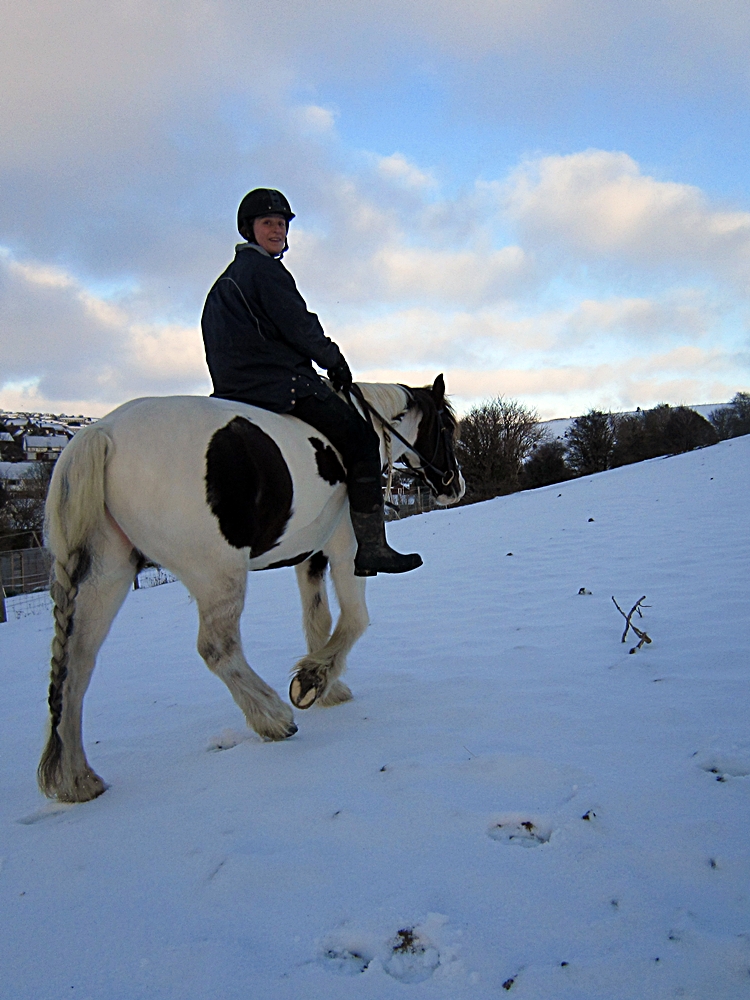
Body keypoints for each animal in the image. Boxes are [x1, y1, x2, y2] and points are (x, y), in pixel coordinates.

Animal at [38, 376, 464, 803]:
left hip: (106, 574)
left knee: (76, 663)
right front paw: (313, 679)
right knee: (216, 648)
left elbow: (317, 618)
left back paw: (78, 779)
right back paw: (272, 717)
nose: (455, 486)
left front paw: (324, 685)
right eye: (448, 427)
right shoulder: (346, 548)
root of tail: (101, 432)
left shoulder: (310, 554)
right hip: (216, 574)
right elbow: (356, 618)